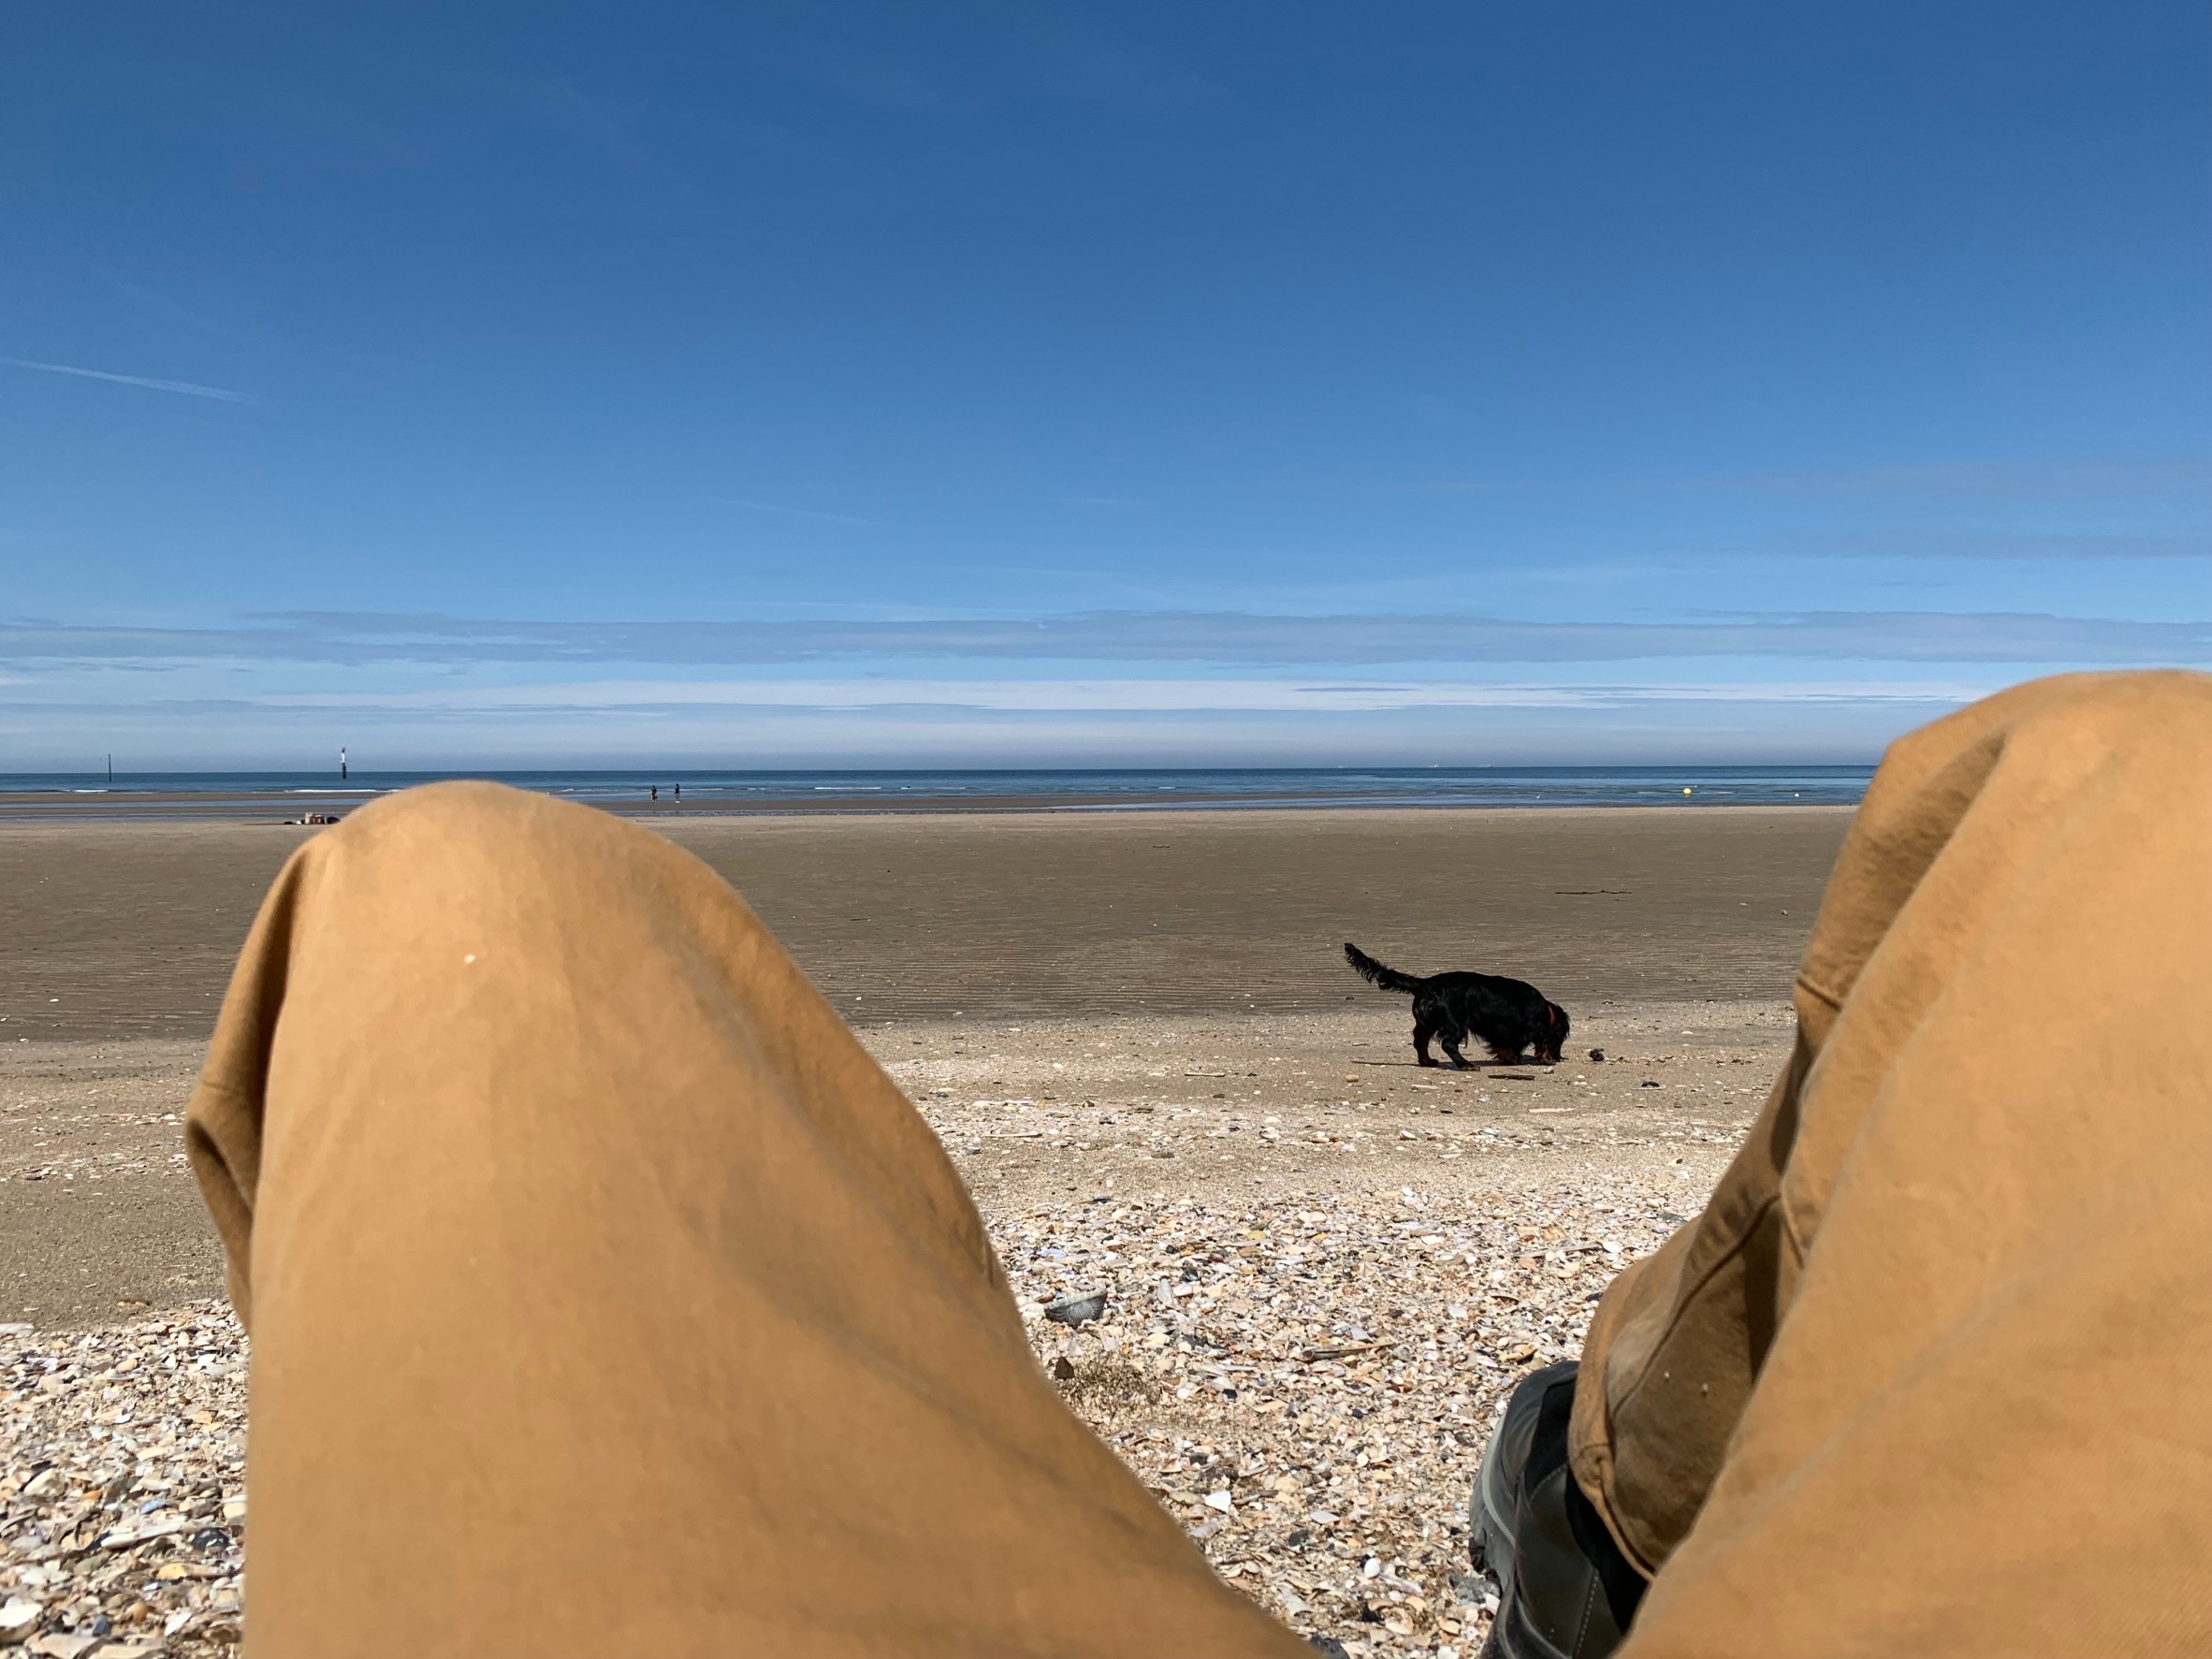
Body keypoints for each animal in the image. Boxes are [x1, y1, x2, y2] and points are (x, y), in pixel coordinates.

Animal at [1335, 942, 1565, 1070]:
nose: (1560, 1056)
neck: (1546, 1010)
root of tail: (1425, 984)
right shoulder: (1537, 1028)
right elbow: (1542, 1043)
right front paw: (1547, 1059)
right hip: (1456, 1024)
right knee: (1447, 1044)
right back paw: (1465, 1065)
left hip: (1427, 1023)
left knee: (1420, 1041)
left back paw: (1428, 1061)